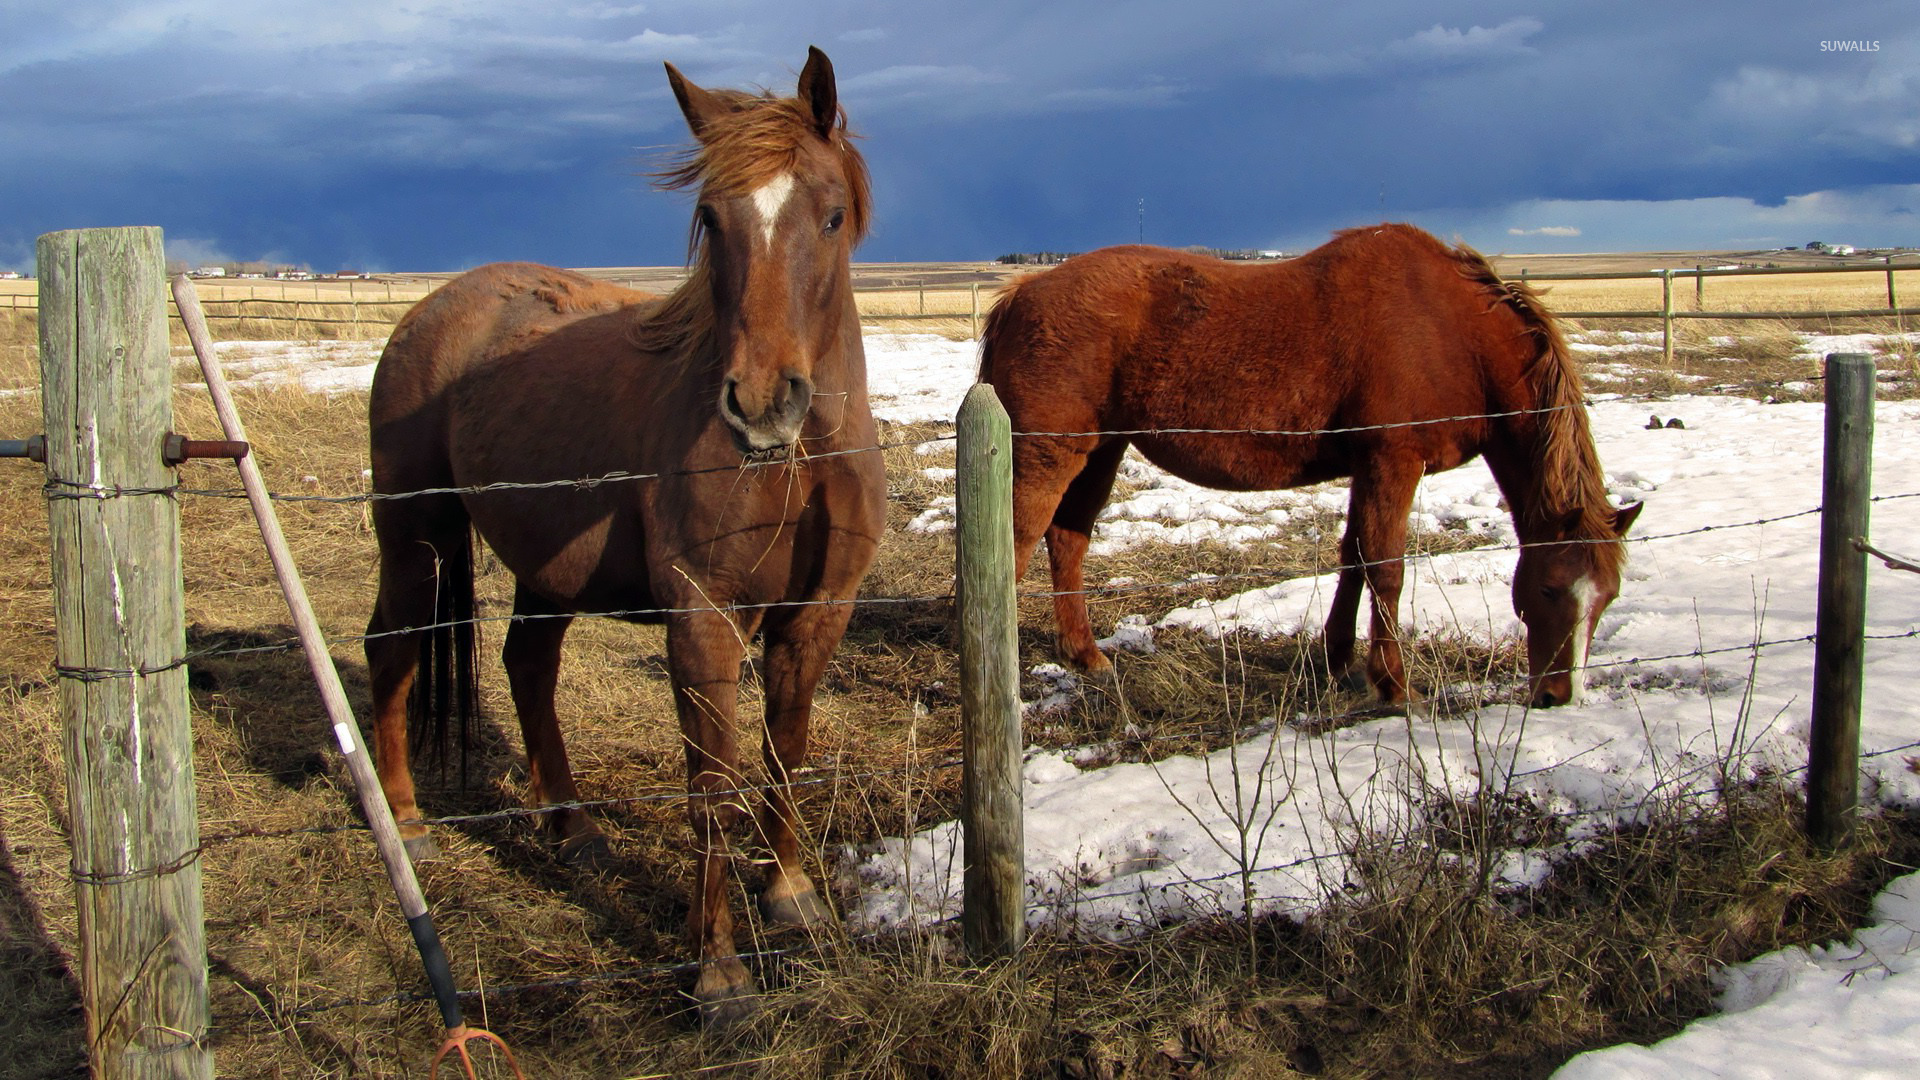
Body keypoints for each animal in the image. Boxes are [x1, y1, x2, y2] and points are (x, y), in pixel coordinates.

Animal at [360, 48, 883, 1014]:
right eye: (711, 219)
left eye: (830, 215)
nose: (761, 404)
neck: (801, 458)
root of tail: (431, 310)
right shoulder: (703, 618)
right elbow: (711, 783)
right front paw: (718, 974)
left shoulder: (818, 612)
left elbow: (785, 751)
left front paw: (791, 893)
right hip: (415, 539)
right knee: (393, 649)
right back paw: (407, 823)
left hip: (543, 569)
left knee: (528, 667)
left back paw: (572, 830)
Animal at [983, 224, 1643, 707]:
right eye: (1552, 587)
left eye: (1607, 597)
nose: (1559, 695)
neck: (1452, 330)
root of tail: (1021, 296)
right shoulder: (1393, 462)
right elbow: (1386, 569)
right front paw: (1393, 685)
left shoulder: (1366, 469)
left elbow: (1353, 558)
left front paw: (1336, 659)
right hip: (1049, 455)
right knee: (1015, 546)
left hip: (1101, 449)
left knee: (1068, 540)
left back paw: (1086, 655)